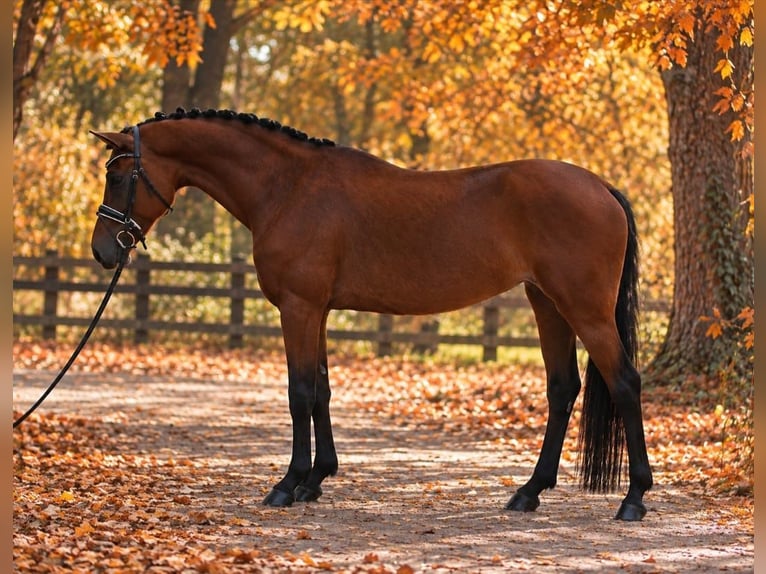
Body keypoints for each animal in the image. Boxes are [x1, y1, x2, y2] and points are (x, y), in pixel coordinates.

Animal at [90, 108, 652, 521]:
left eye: (118, 176)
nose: (102, 252)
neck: (288, 187)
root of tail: (600, 186)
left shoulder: (298, 308)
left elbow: (299, 393)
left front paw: (287, 484)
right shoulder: (315, 310)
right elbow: (320, 390)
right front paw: (316, 480)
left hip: (584, 309)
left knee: (624, 382)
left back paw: (633, 499)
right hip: (546, 303)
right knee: (562, 389)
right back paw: (529, 492)